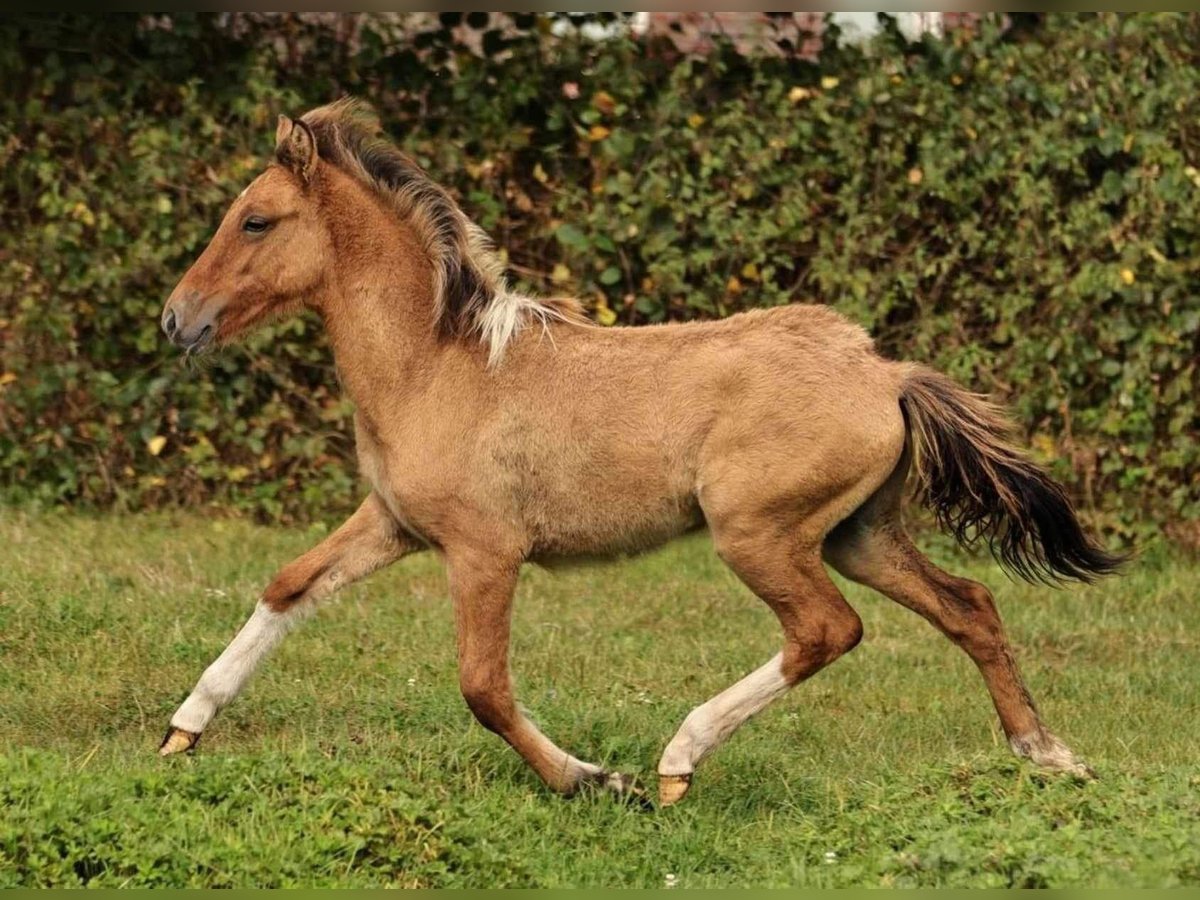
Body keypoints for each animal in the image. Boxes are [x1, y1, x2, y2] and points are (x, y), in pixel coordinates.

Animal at [159, 100, 1123, 811]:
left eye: (255, 221)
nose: (177, 319)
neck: (435, 365)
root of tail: (884, 372)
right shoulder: (393, 523)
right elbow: (289, 585)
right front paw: (182, 731)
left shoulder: (484, 552)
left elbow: (484, 687)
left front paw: (593, 779)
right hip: (859, 534)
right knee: (970, 606)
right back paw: (1050, 756)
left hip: (758, 534)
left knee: (827, 629)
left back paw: (676, 762)